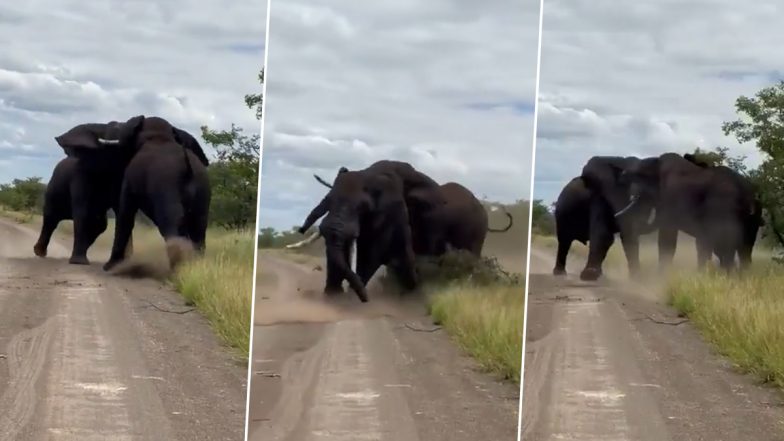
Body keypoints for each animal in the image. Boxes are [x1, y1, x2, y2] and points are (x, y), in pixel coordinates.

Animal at [616, 152, 761, 273]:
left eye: (640, 193)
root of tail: (748, 193)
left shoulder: (670, 197)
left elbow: (667, 237)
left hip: (723, 207)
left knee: (725, 248)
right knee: (744, 249)